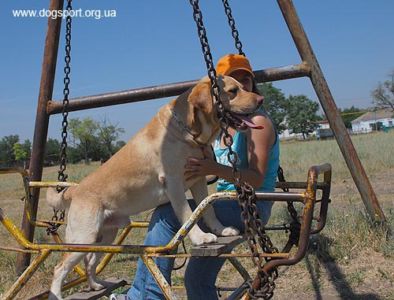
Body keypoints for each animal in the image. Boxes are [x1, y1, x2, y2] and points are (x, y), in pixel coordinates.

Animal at [46, 75, 264, 298]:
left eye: (242, 87)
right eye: (232, 91)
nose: (261, 99)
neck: (187, 131)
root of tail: (75, 190)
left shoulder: (198, 179)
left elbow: (207, 209)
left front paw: (221, 230)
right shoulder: (173, 181)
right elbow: (188, 215)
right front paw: (200, 238)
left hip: (106, 236)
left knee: (90, 262)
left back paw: (96, 285)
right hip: (83, 237)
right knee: (60, 268)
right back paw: (59, 295)